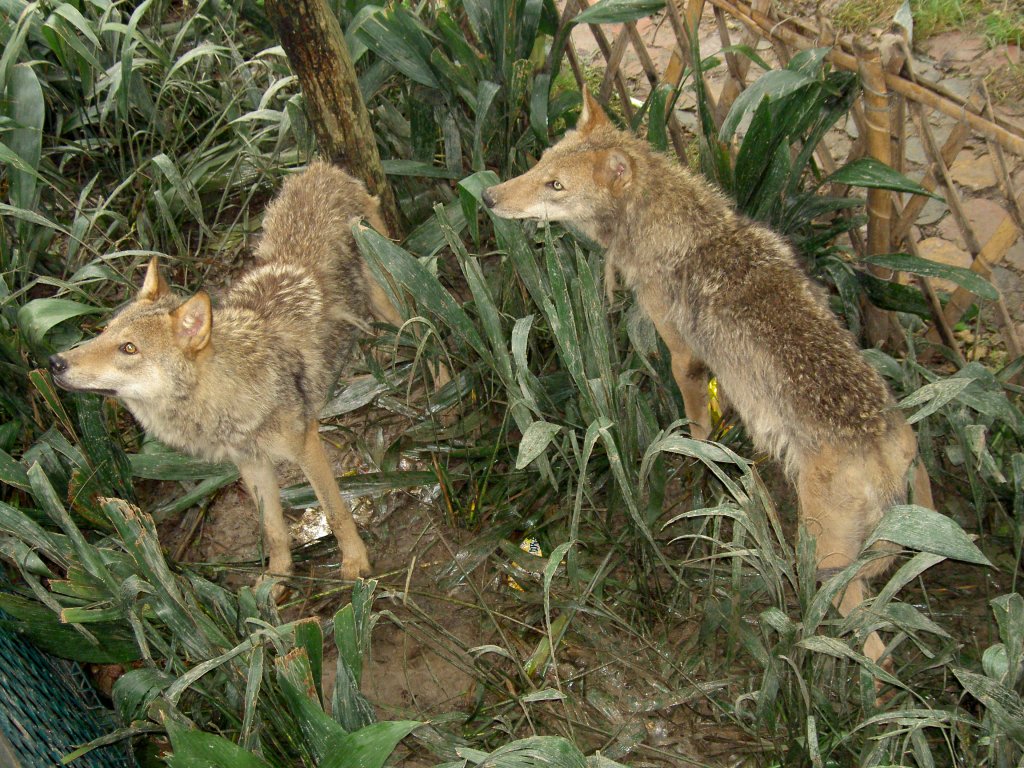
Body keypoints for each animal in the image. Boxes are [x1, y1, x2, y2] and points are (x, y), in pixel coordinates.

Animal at [50, 160, 403, 581]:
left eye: (128, 348)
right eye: (103, 333)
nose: (55, 362)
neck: (224, 399)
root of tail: (321, 167)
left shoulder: (306, 444)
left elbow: (335, 512)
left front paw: (354, 564)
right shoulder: (251, 463)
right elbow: (272, 531)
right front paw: (275, 581)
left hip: (391, 305)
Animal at [483, 90, 933, 663]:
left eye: (555, 185)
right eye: (540, 164)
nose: (489, 196)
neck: (681, 229)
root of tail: (885, 446)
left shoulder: (684, 357)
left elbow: (695, 428)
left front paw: (694, 458)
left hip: (824, 562)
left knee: (871, 645)